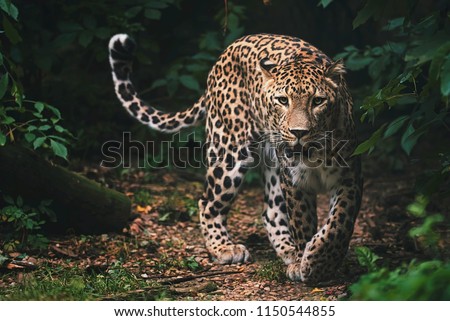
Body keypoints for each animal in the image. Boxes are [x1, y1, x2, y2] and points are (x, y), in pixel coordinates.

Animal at [108, 32, 362, 282]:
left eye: (318, 101)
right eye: (283, 100)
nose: (299, 132)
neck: (315, 153)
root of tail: (228, 50)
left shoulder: (349, 177)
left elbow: (339, 223)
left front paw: (319, 261)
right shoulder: (294, 181)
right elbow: (303, 222)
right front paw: (307, 264)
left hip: (271, 164)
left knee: (270, 211)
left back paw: (287, 251)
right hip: (229, 152)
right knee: (207, 202)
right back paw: (224, 248)